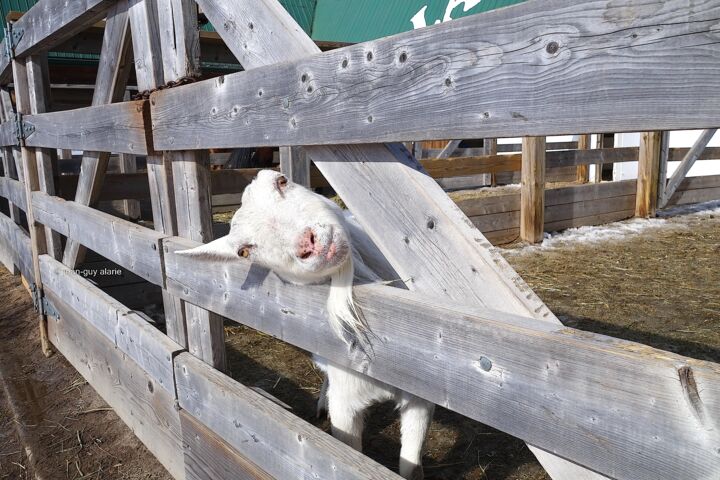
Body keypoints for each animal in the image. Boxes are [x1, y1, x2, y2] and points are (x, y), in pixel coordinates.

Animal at [180, 171, 436, 478]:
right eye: (243, 251)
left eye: (281, 181)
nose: (309, 244)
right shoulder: (346, 405)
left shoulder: (421, 394)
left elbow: (411, 460)